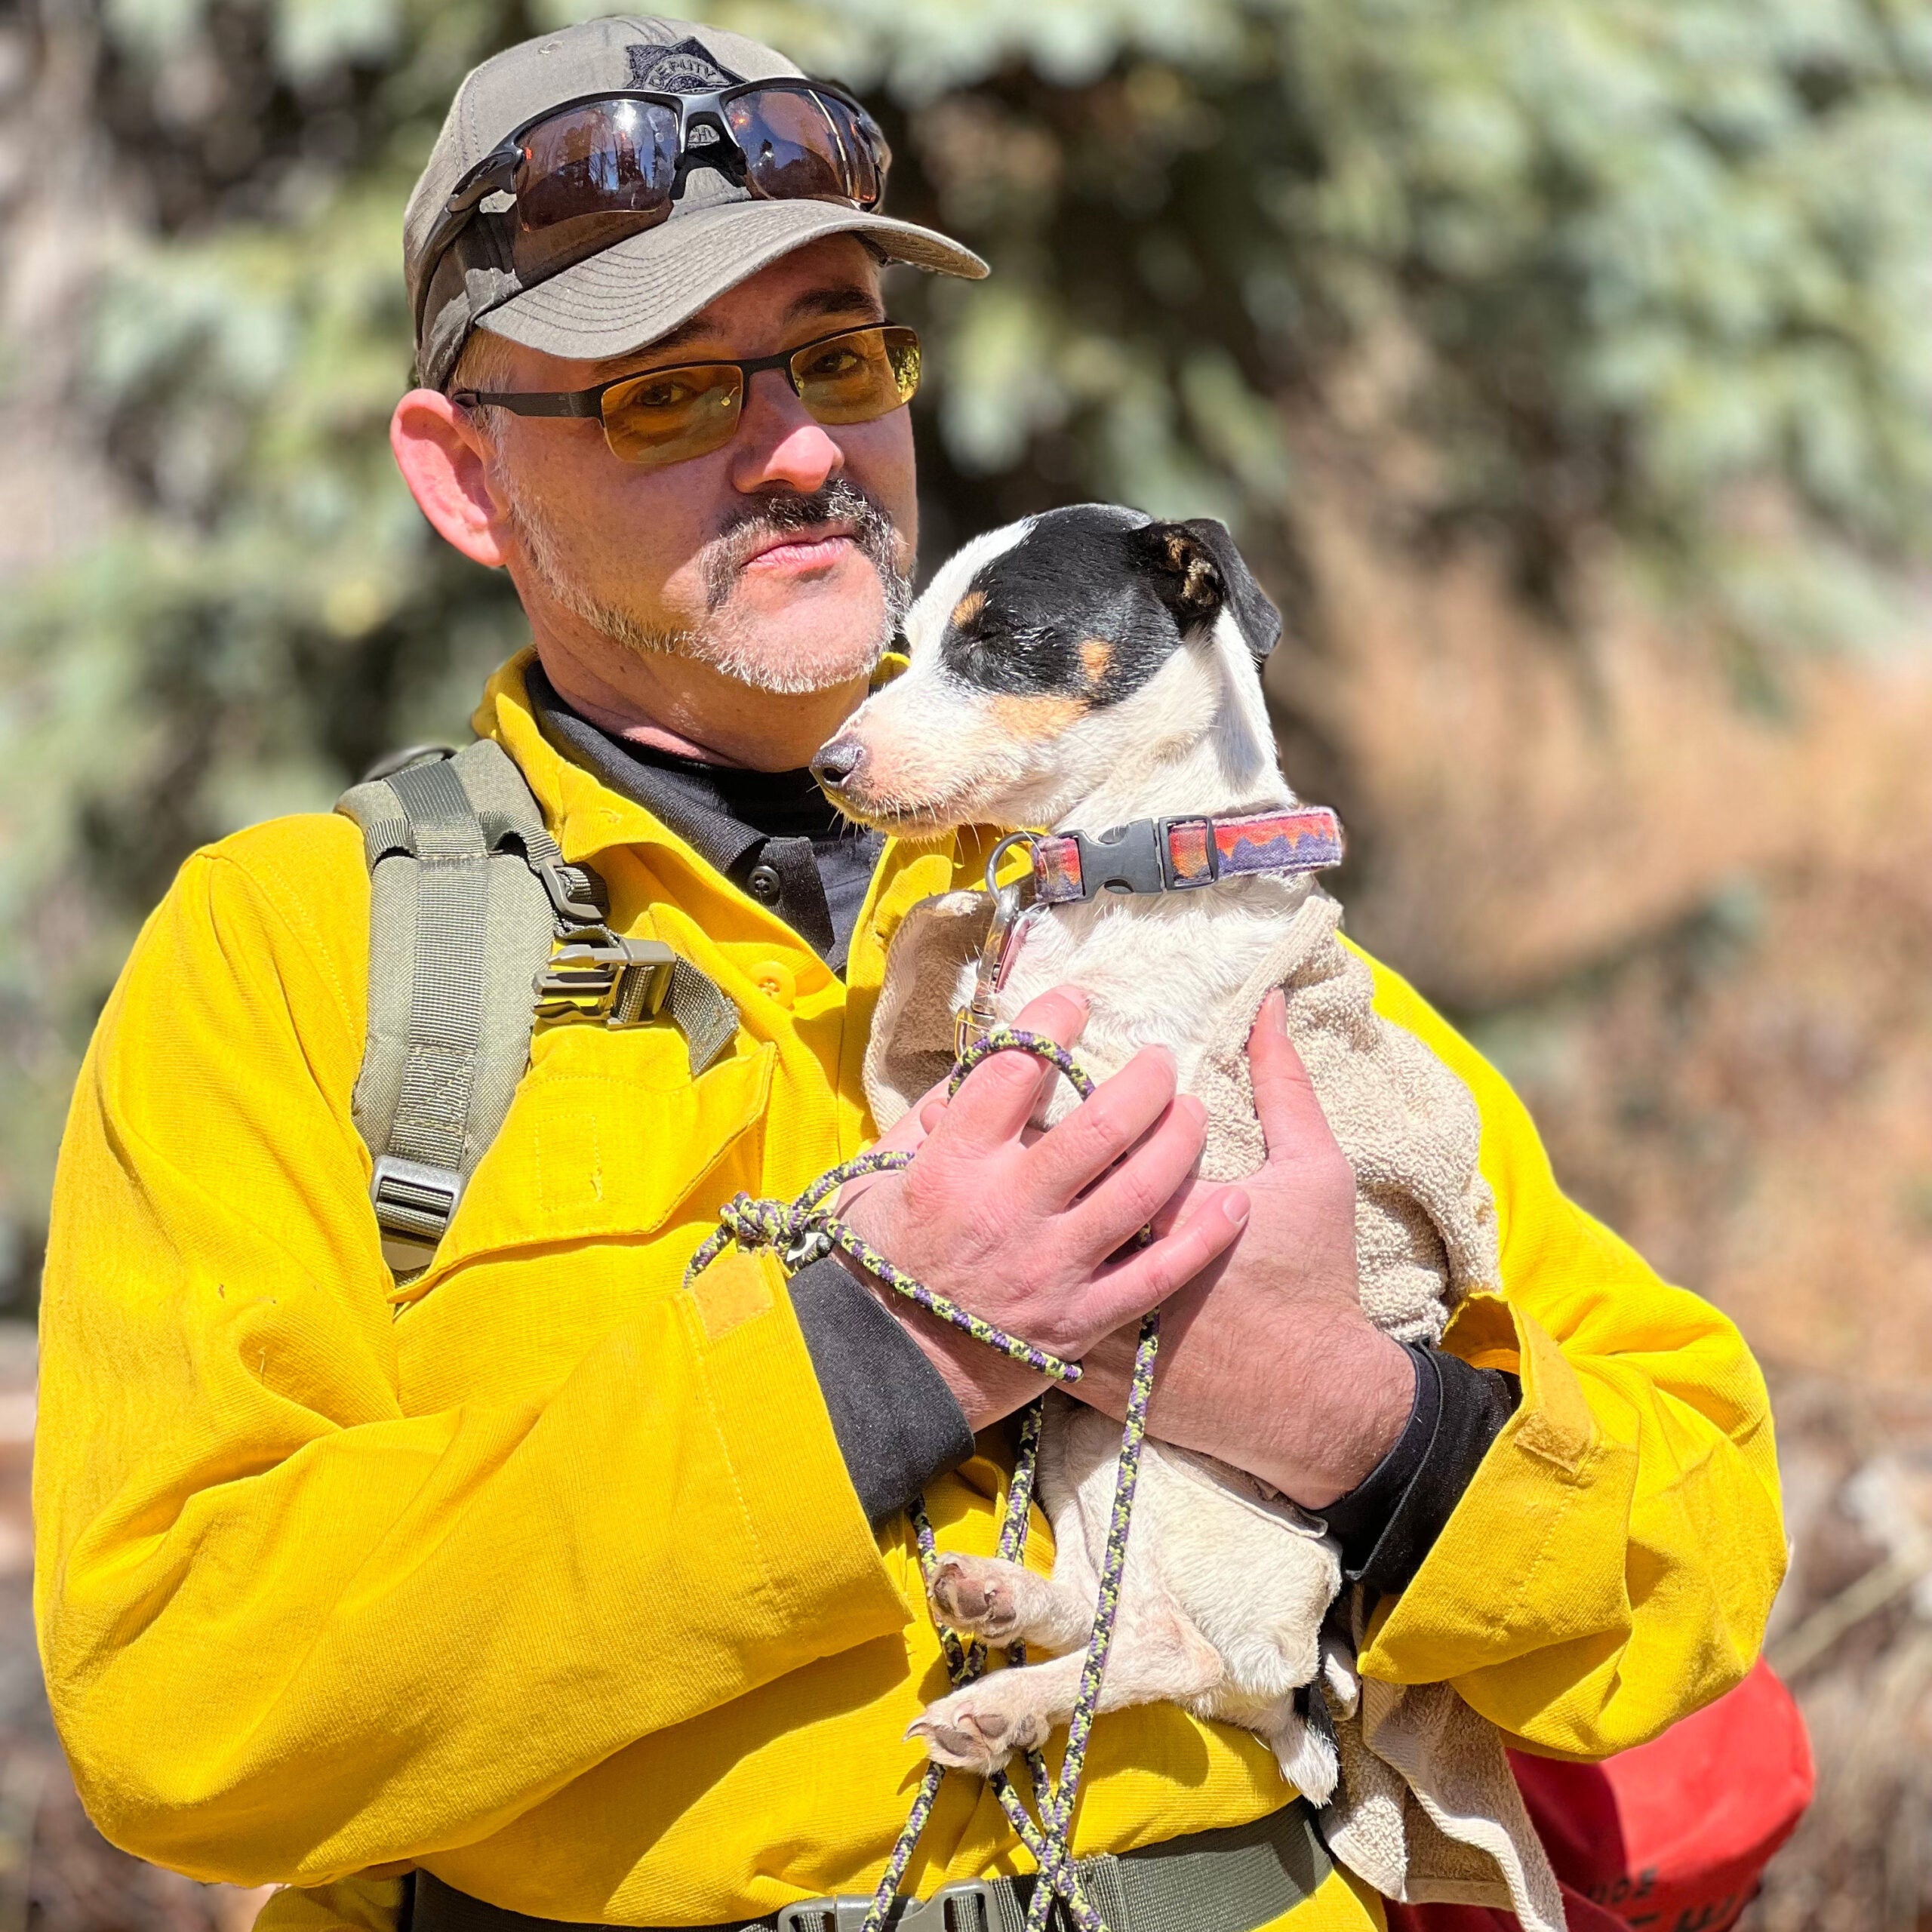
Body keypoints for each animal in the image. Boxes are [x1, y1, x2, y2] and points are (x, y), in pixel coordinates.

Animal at [803, 506, 1491, 1800]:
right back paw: (1003, 1608)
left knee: (1179, 1652)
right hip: (1087, 1449)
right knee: (1123, 1620)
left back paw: (1002, 1702)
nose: (829, 764)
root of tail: (1304, 1690)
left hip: (1178, 1482)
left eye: (996, 636)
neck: (1119, 868)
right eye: (908, 640)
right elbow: (924, 1012)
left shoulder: (1132, 1102)